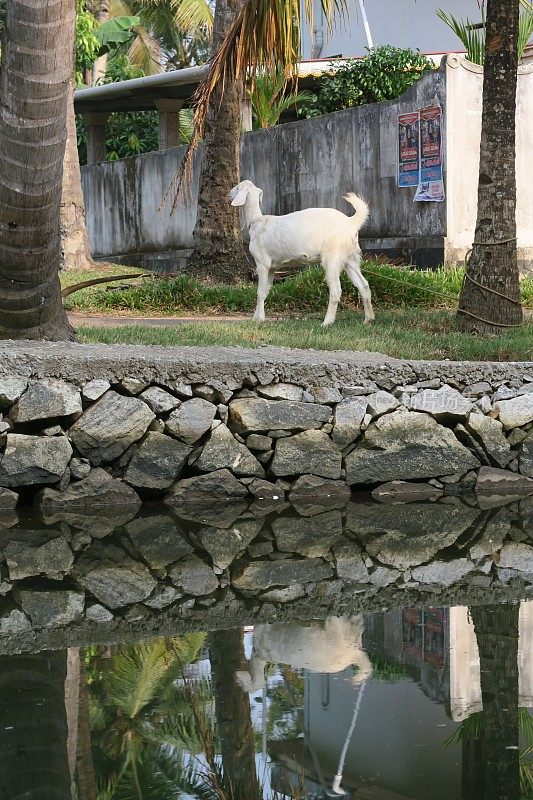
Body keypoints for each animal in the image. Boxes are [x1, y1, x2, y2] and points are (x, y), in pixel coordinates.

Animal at [229, 180, 374, 324]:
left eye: (237, 188)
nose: (229, 194)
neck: (257, 221)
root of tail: (351, 222)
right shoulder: (272, 267)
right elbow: (265, 291)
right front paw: (255, 317)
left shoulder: (262, 263)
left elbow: (259, 292)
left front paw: (260, 319)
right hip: (350, 257)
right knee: (363, 285)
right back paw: (368, 319)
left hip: (333, 255)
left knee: (336, 290)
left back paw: (327, 322)